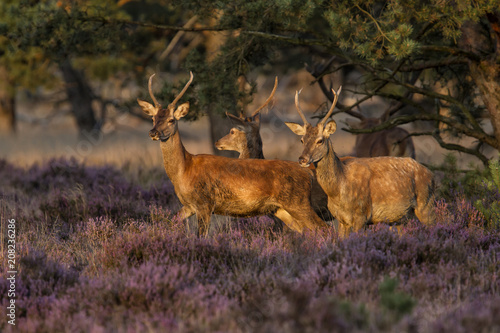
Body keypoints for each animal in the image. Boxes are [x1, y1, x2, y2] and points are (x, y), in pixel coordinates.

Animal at [136, 71, 328, 235]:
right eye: (153, 118)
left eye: (171, 120)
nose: (153, 132)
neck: (184, 170)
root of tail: (307, 174)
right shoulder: (189, 205)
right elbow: (169, 221)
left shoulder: (205, 203)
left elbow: (201, 236)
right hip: (283, 210)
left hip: (298, 203)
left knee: (323, 228)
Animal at [286, 85, 434, 236]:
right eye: (302, 140)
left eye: (320, 140)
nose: (302, 159)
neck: (338, 189)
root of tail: (431, 174)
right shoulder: (341, 219)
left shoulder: (361, 215)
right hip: (401, 217)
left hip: (426, 204)